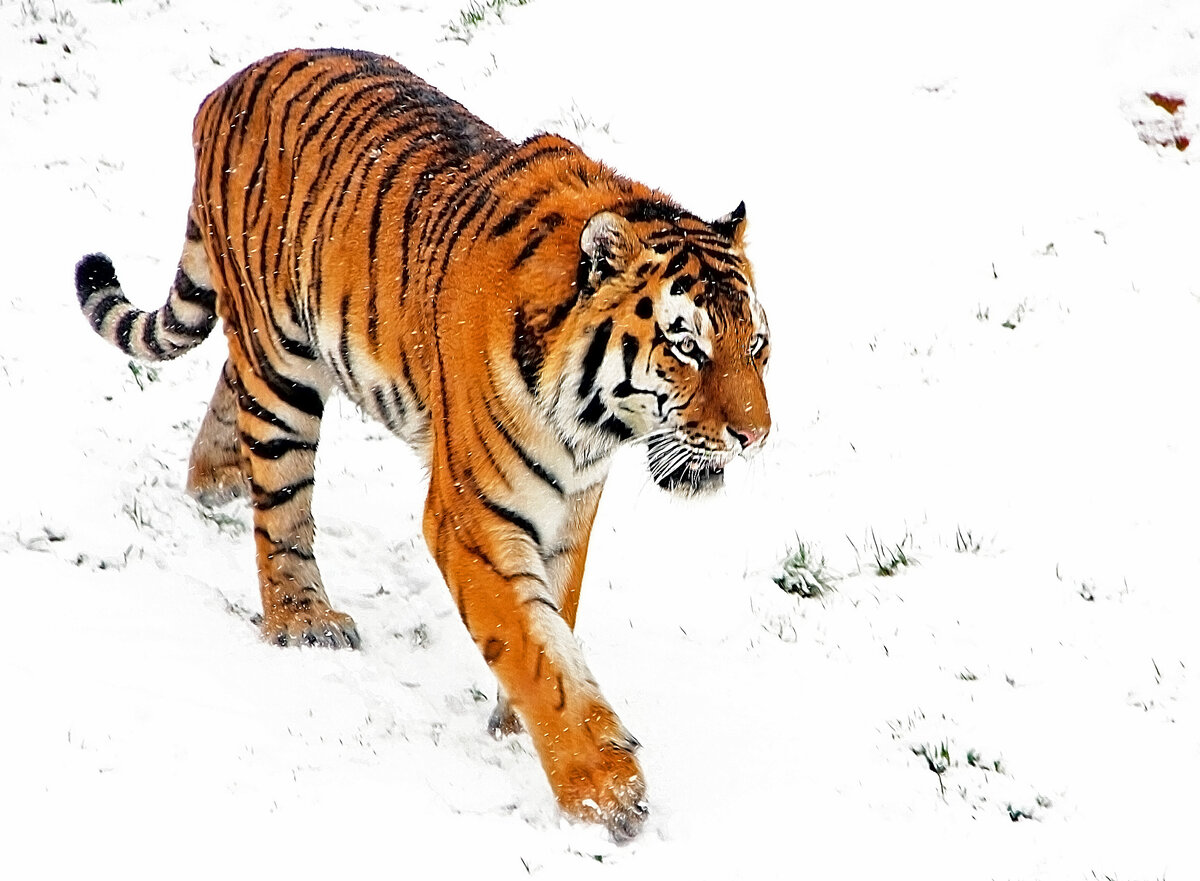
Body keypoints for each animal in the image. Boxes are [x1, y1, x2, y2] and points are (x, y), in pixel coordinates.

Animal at [74, 48, 771, 840]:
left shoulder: (572, 508)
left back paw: (214, 479)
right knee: (281, 508)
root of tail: (229, 84)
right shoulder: (472, 515)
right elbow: (531, 644)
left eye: (756, 346)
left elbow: (557, 619)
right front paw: (604, 791)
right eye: (687, 348)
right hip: (283, 370)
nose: (755, 436)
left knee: (231, 386)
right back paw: (303, 620)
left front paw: (520, 729)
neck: (592, 422)